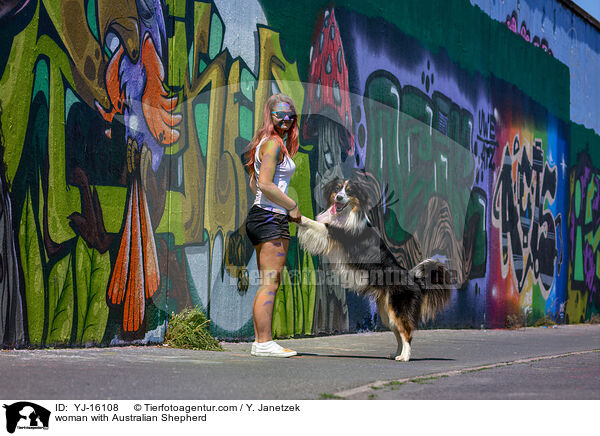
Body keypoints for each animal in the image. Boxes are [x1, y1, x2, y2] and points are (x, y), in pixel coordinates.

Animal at [298, 172, 452, 362]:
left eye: (349, 191)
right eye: (337, 189)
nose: (339, 197)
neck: (348, 213)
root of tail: (415, 279)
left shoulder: (335, 233)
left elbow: (313, 224)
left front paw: (296, 215)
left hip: (398, 308)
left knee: (407, 333)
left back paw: (404, 357)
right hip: (387, 312)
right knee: (398, 332)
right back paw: (396, 354)